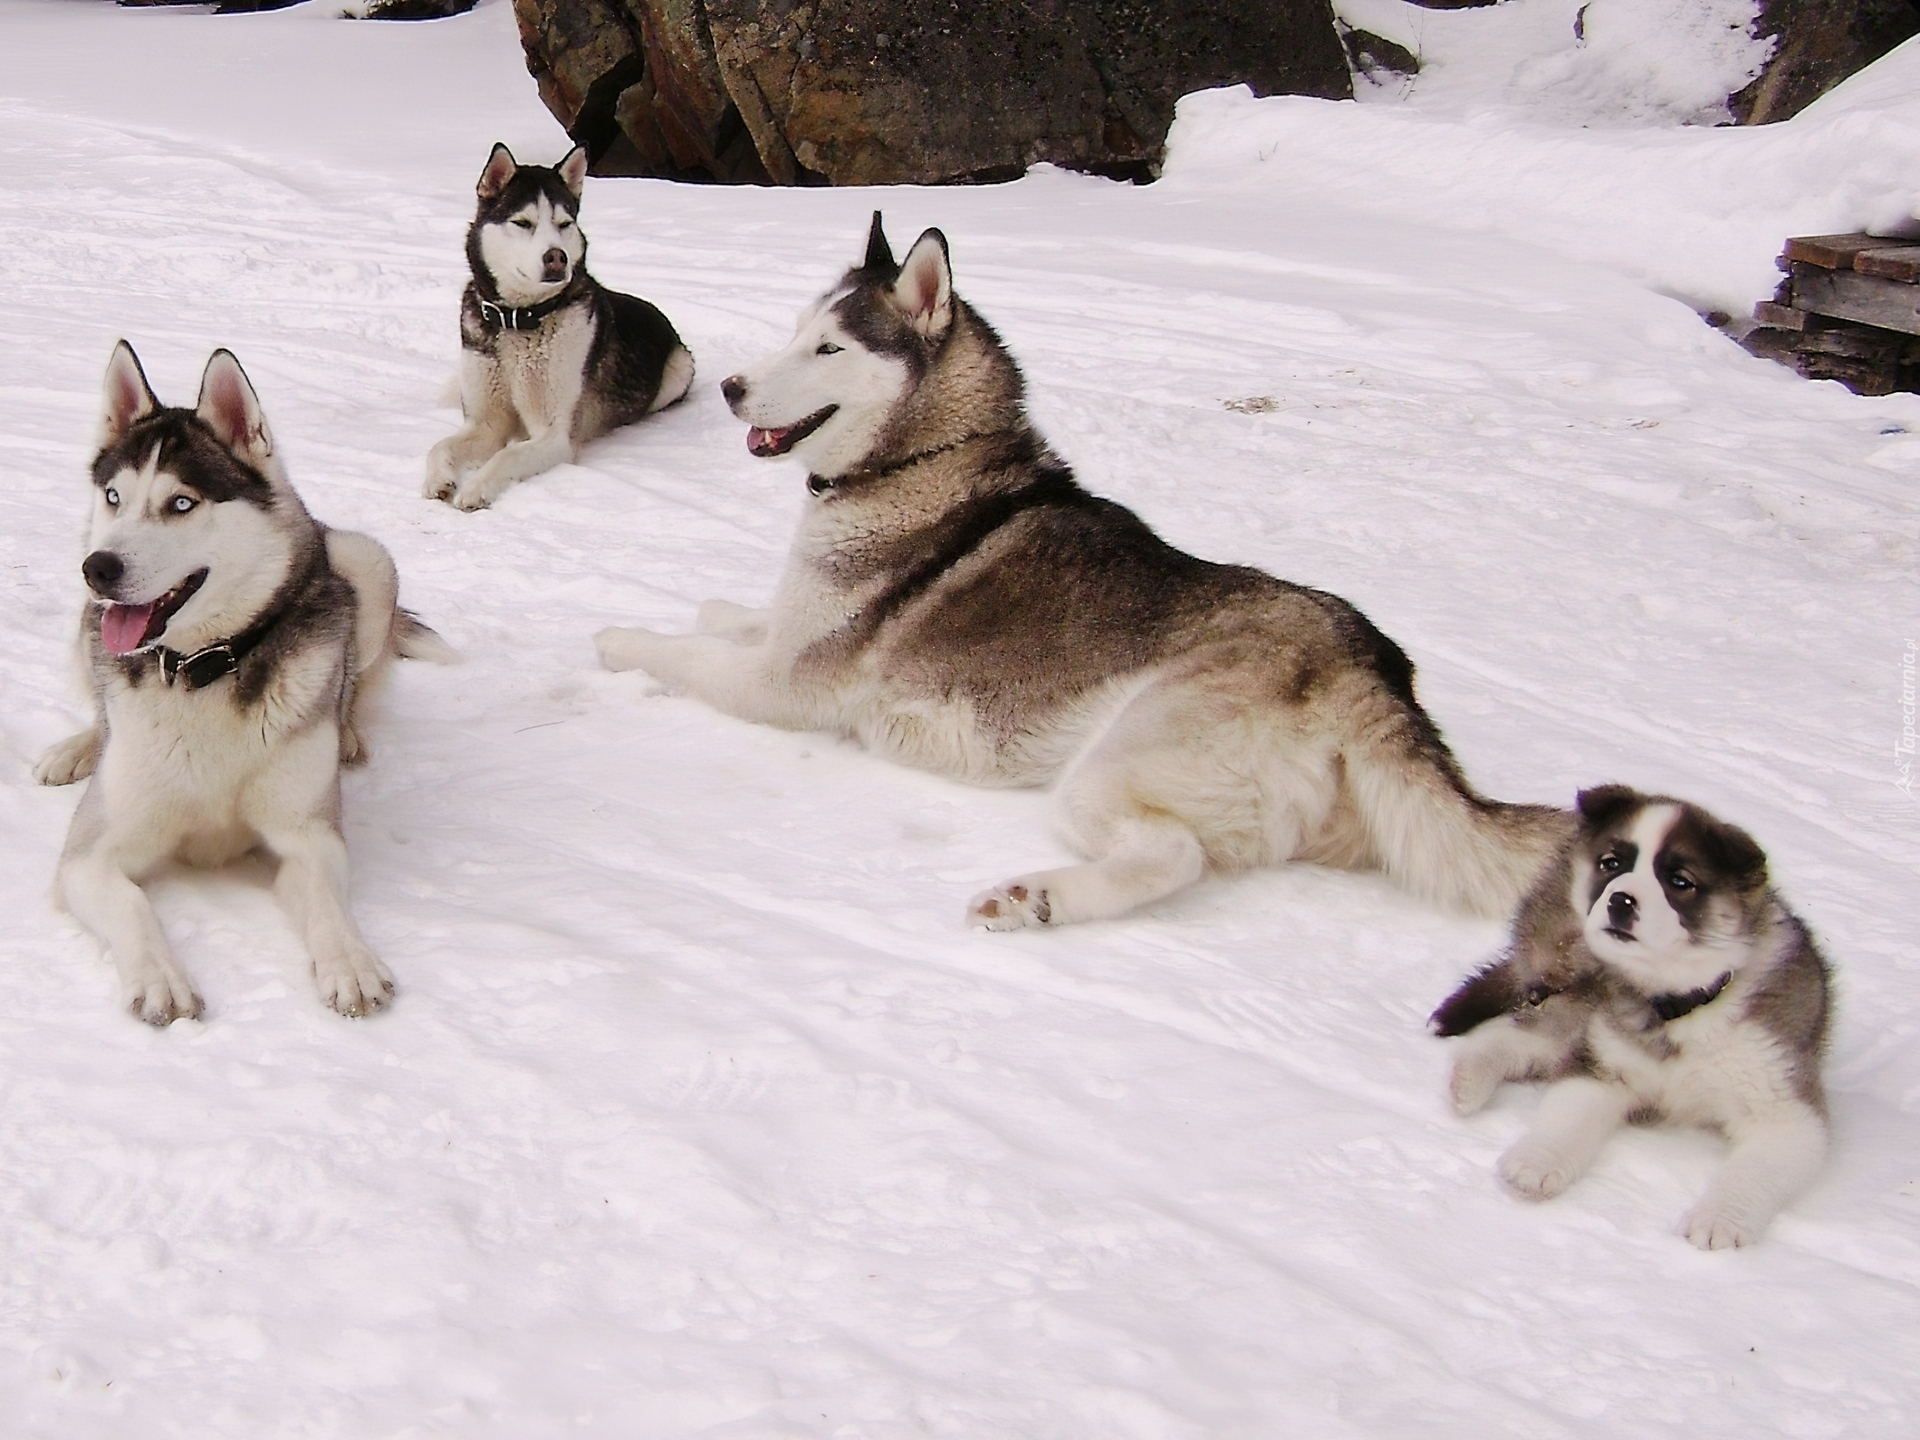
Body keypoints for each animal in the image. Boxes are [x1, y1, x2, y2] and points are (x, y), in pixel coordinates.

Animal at [39, 341, 451, 1029]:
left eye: (182, 503)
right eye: (115, 496)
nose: (98, 568)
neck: (202, 669)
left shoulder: (307, 836)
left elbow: (327, 902)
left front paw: (351, 964)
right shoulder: (90, 855)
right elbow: (130, 902)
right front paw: (161, 978)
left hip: (363, 562)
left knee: (353, 678)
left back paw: (347, 733)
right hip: (86, 621)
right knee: (98, 701)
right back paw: (74, 749)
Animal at [424, 142, 695, 514]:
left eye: (564, 223)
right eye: (522, 223)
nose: (557, 257)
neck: (517, 319)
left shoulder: (554, 436)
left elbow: (508, 455)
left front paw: (476, 488)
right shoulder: (486, 423)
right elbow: (439, 446)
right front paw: (438, 480)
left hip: (680, 369)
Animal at [595, 218, 1559, 929]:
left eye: (829, 349)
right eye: (797, 332)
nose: (728, 386)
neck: (924, 458)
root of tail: (1369, 663)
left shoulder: (783, 687)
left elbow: (682, 652)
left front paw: (616, 639)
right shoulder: (794, 629)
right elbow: (730, 613)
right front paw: (710, 607)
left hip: (1110, 762)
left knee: (1173, 856)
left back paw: (1036, 898)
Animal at [1443, 783, 1827, 1244]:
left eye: (1680, 882)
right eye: (1612, 863)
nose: (1620, 900)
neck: (1676, 1012)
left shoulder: (1783, 1112)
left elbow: (1755, 1170)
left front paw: (1719, 1220)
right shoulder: (1605, 1069)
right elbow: (1567, 1116)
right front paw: (1537, 1161)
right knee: (1525, 1032)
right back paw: (1469, 1078)